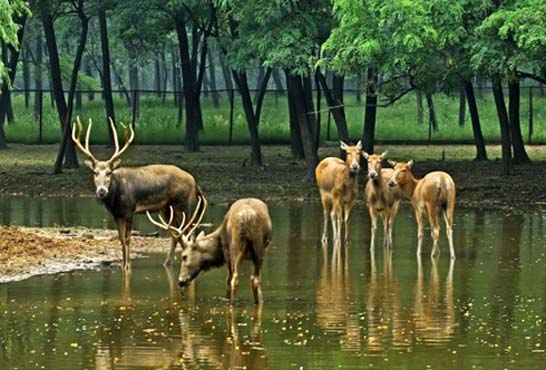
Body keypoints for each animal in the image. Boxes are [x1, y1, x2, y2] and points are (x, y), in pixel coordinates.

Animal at [70, 117, 202, 270]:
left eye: (109, 172)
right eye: (94, 172)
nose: (102, 191)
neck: (116, 199)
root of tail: (194, 181)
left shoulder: (130, 209)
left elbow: (128, 238)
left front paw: (127, 266)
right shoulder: (116, 214)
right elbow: (121, 238)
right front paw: (123, 265)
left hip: (183, 204)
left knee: (189, 230)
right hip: (167, 209)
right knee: (176, 233)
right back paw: (167, 262)